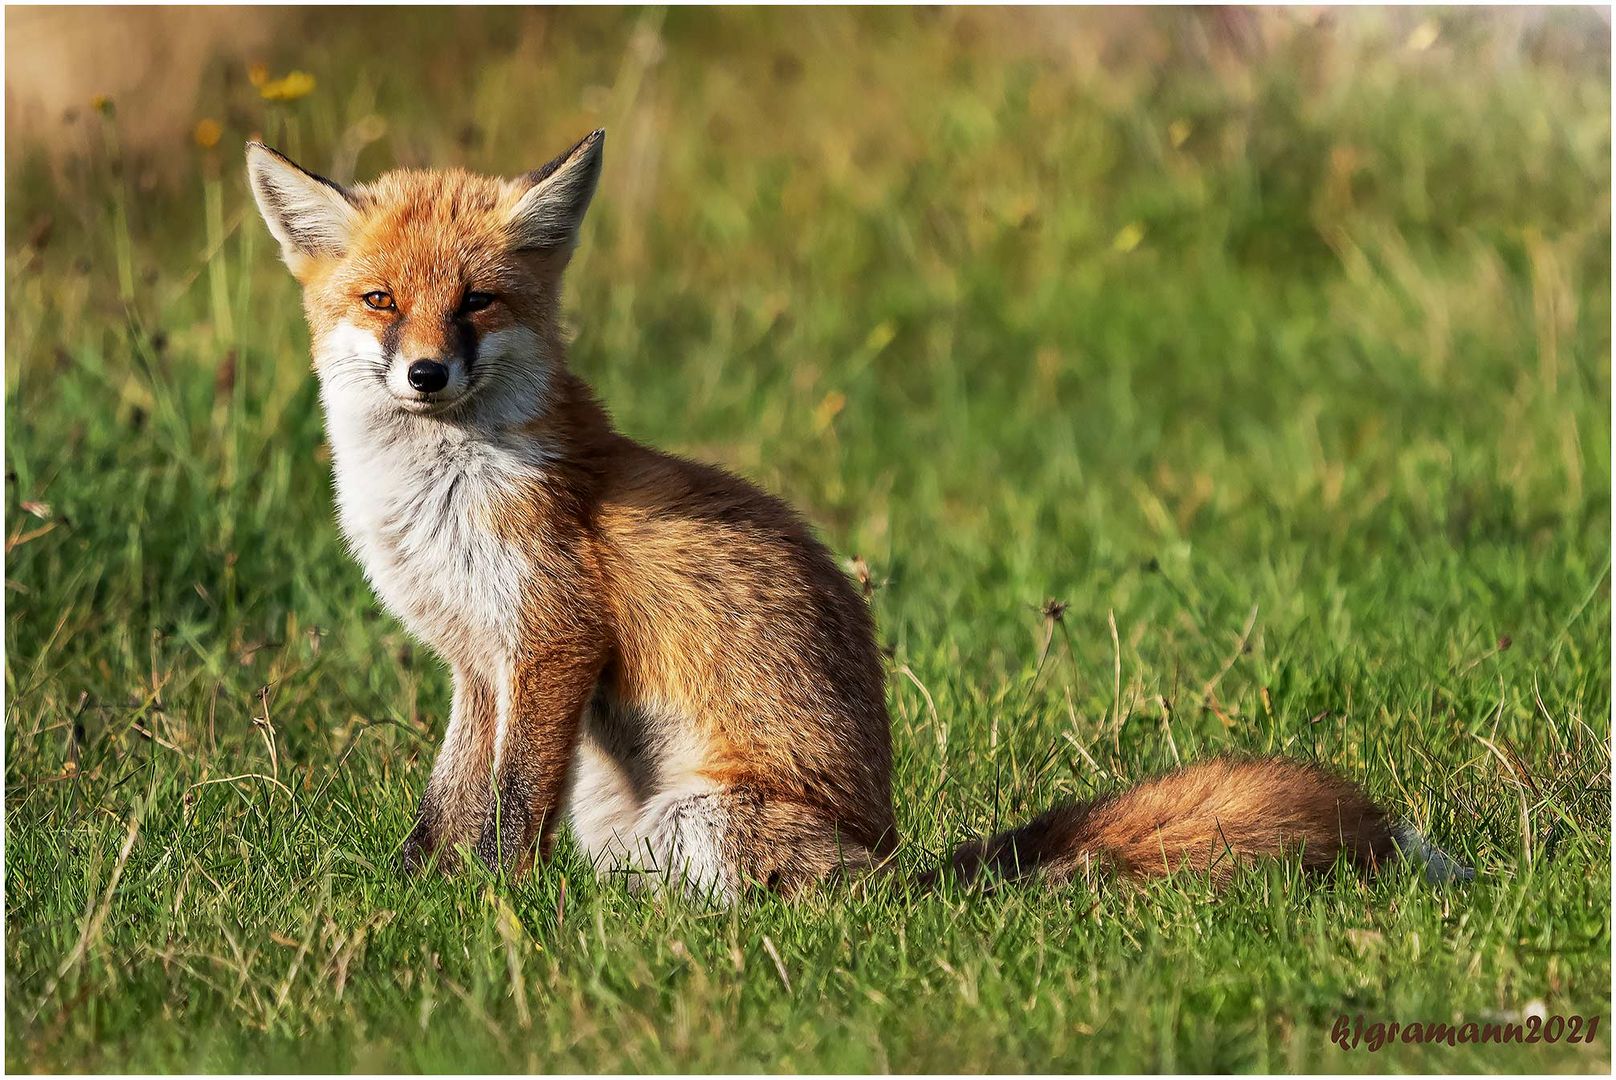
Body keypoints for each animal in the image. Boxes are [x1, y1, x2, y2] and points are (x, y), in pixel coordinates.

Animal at [245, 130, 1473, 898]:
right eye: (381, 301)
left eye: (479, 302)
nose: (427, 375)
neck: (440, 493)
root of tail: (893, 864)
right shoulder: (475, 657)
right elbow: (447, 802)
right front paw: (417, 893)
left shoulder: (550, 638)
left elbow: (507, 808)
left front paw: (492, 903)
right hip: (629, 817)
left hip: (693, 822)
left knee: (800, 904)